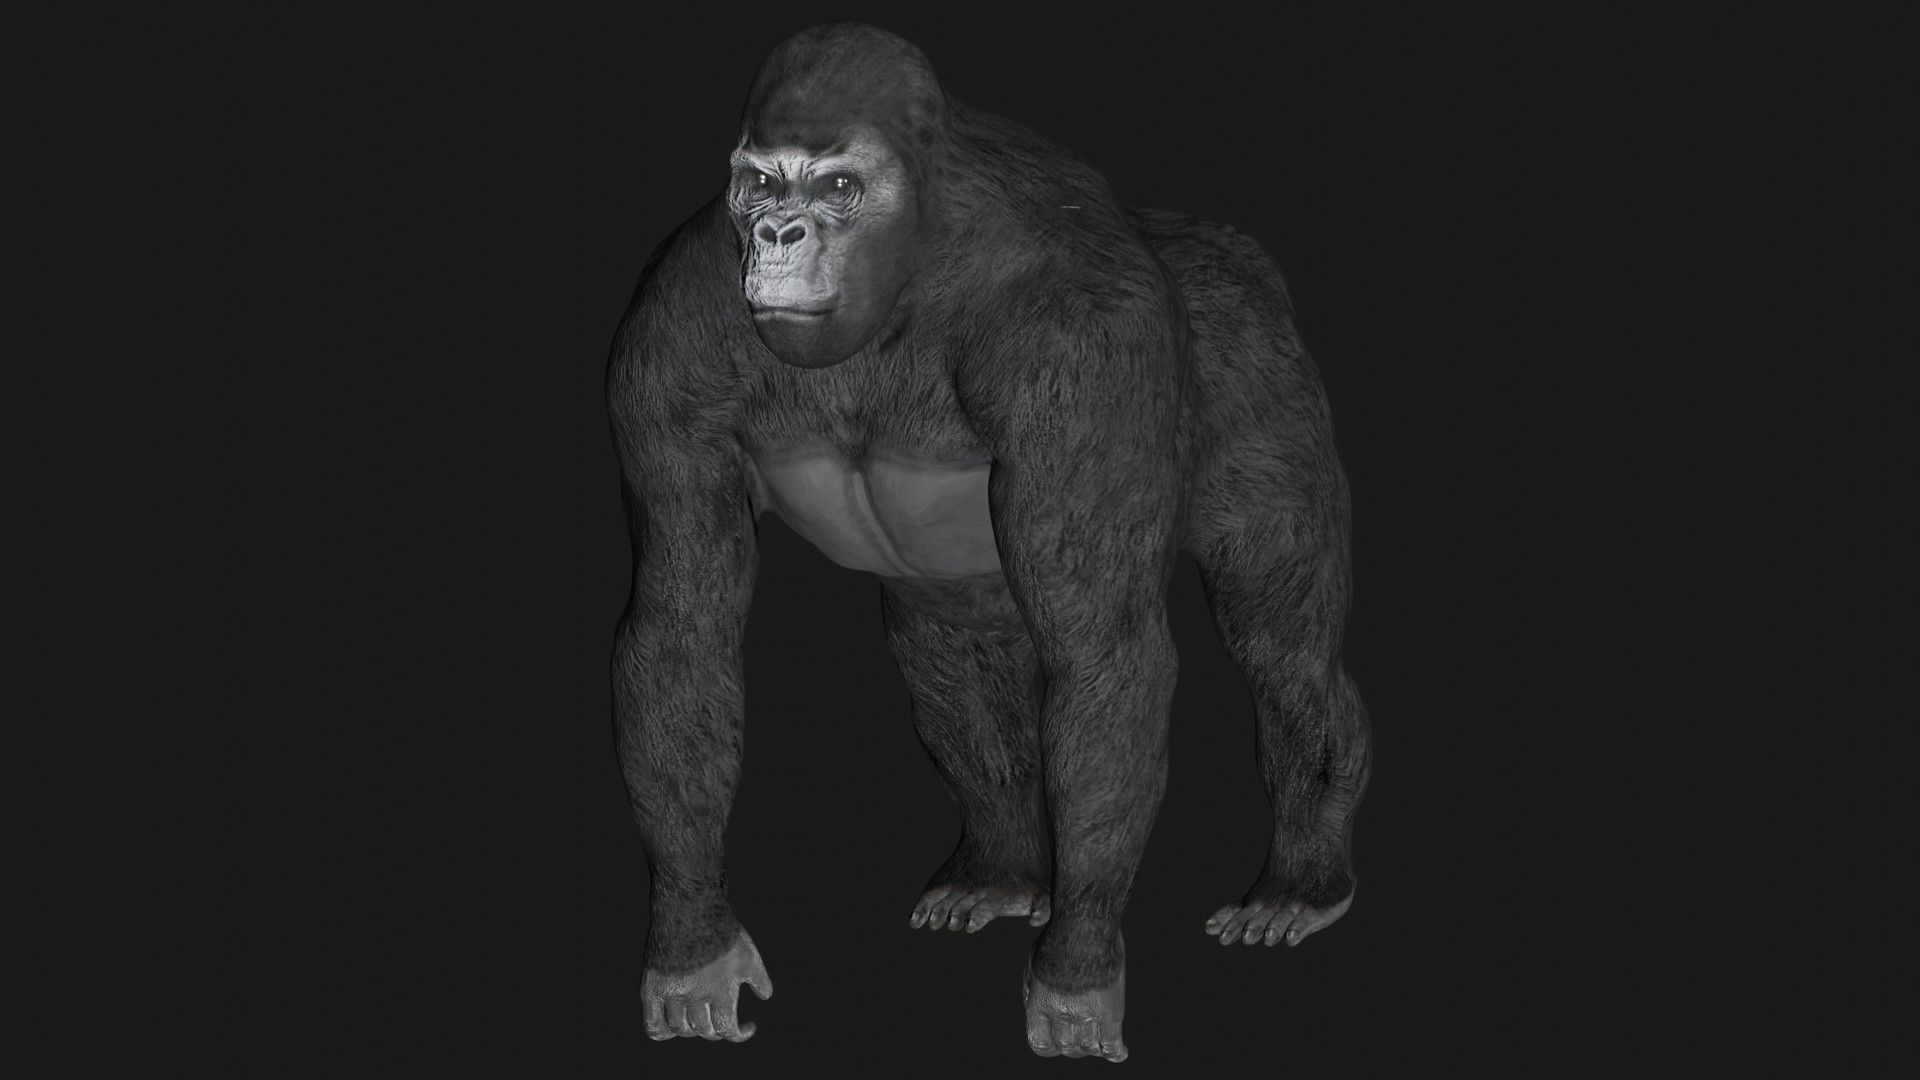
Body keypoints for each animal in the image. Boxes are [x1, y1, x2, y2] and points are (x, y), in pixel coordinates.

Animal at [607, 22, 1371, 1062]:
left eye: (838, 187)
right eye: (761, 183)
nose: (777, 235)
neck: (912, 267)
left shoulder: (1083, 346)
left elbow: (1100, 651)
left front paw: (1078, 973)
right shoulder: (667, 336)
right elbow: (683, 630)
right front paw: (694, 952)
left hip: (1263, 374)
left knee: (1281, 649)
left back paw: (1301, 882)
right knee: (947, 644)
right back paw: (1002, 875)